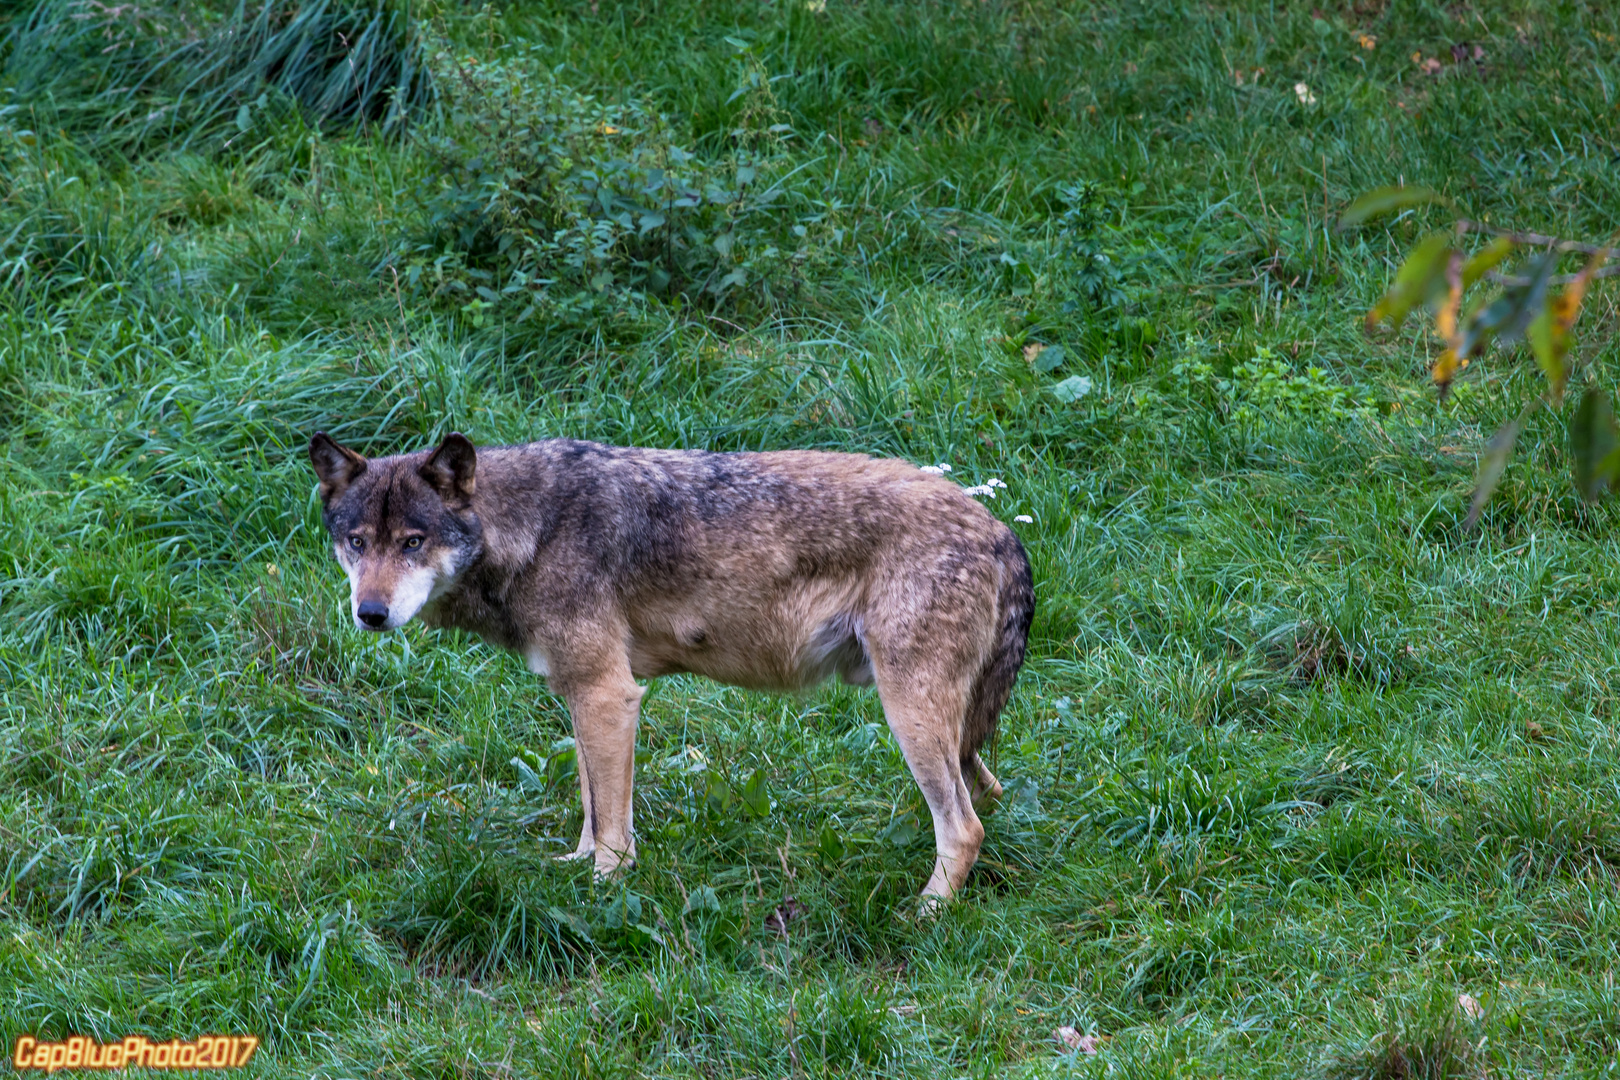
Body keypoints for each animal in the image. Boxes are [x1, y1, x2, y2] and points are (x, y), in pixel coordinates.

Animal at [309, 433, 1030, 906]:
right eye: (356, 542)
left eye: (413, 542)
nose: (370, 613)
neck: (529, 529)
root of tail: (1000, 529)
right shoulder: (582, 697)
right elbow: (590, 805)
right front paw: (575, 866)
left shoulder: (609, 694)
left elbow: (613, 826)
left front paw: (603, 889)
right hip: (941, 725)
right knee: (985, 794)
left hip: (909, 714)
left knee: (965, 826)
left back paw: (924, 914)